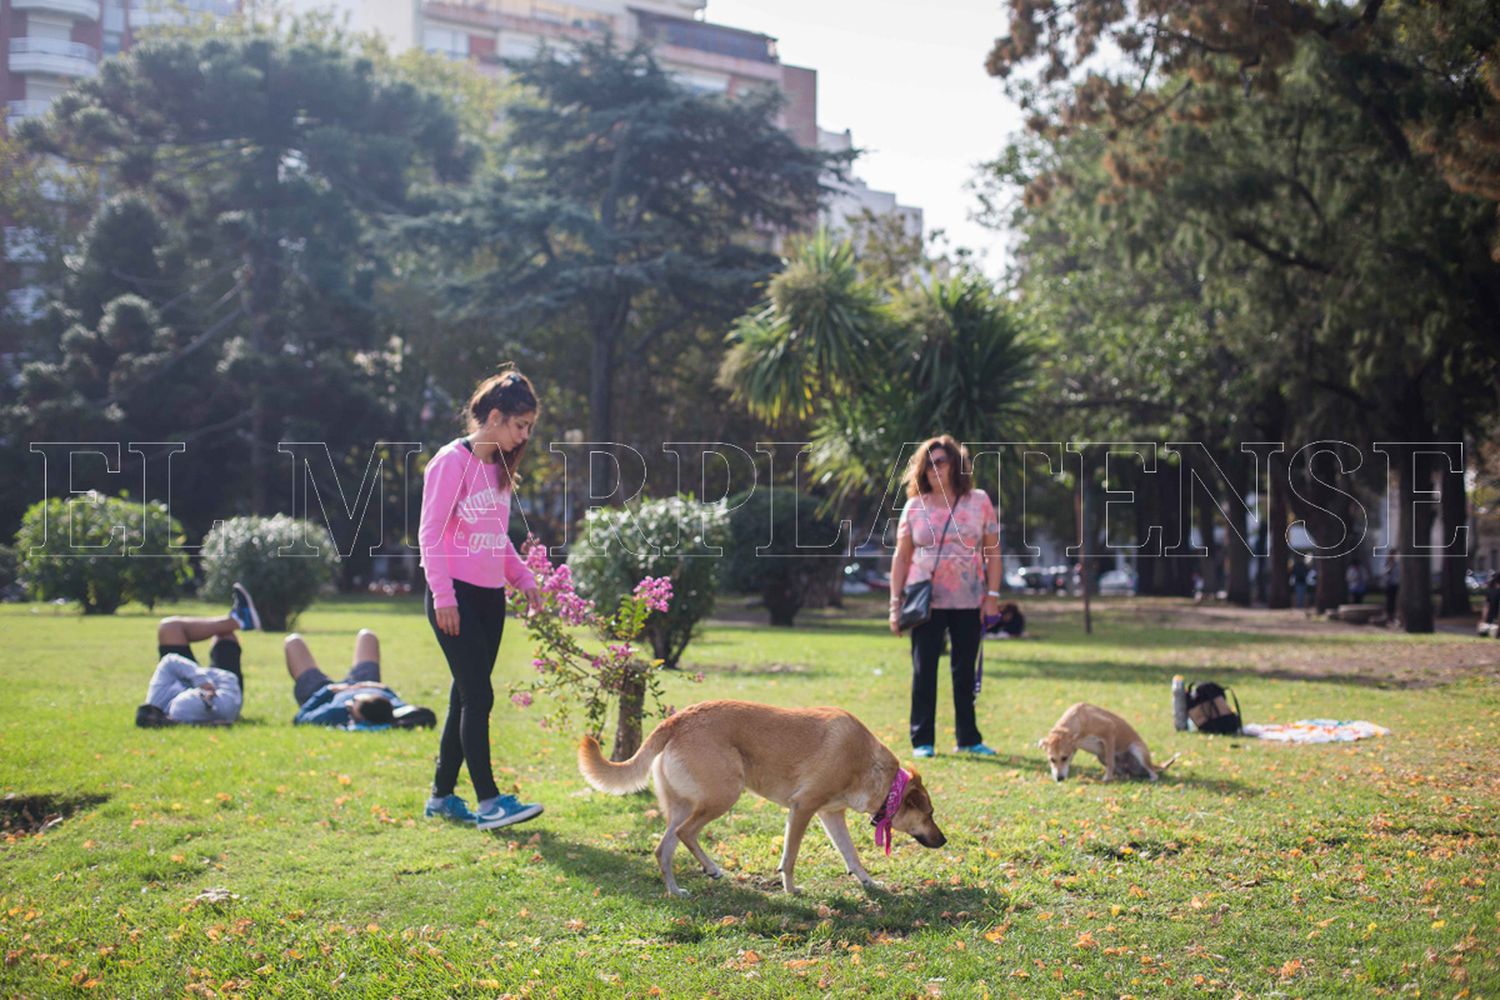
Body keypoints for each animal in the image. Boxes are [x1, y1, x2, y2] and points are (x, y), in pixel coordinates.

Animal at [579, 695, 942, 899]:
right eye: (930, 814)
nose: (944, 841)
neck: (870, 766)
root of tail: (677, 719)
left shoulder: (831, 815)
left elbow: (851, 855)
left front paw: (869, 883)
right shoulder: (803, 808)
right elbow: (790, 857)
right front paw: (791, 890)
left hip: (684, 805)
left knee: (664, 848)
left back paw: (677, 890)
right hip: (723, 795)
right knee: (685, 834)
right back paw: (706, 871)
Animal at [1038, 701, 1176, 785]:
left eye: (1064, 757)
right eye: (1052, 759)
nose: (1059, 779)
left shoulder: (1109, 731)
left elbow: (1111, 761)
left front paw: (1107, 778)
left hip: (1136, 748)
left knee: (1152, 771)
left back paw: (1152, 778)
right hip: (1101, 757)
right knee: (1125, 772)